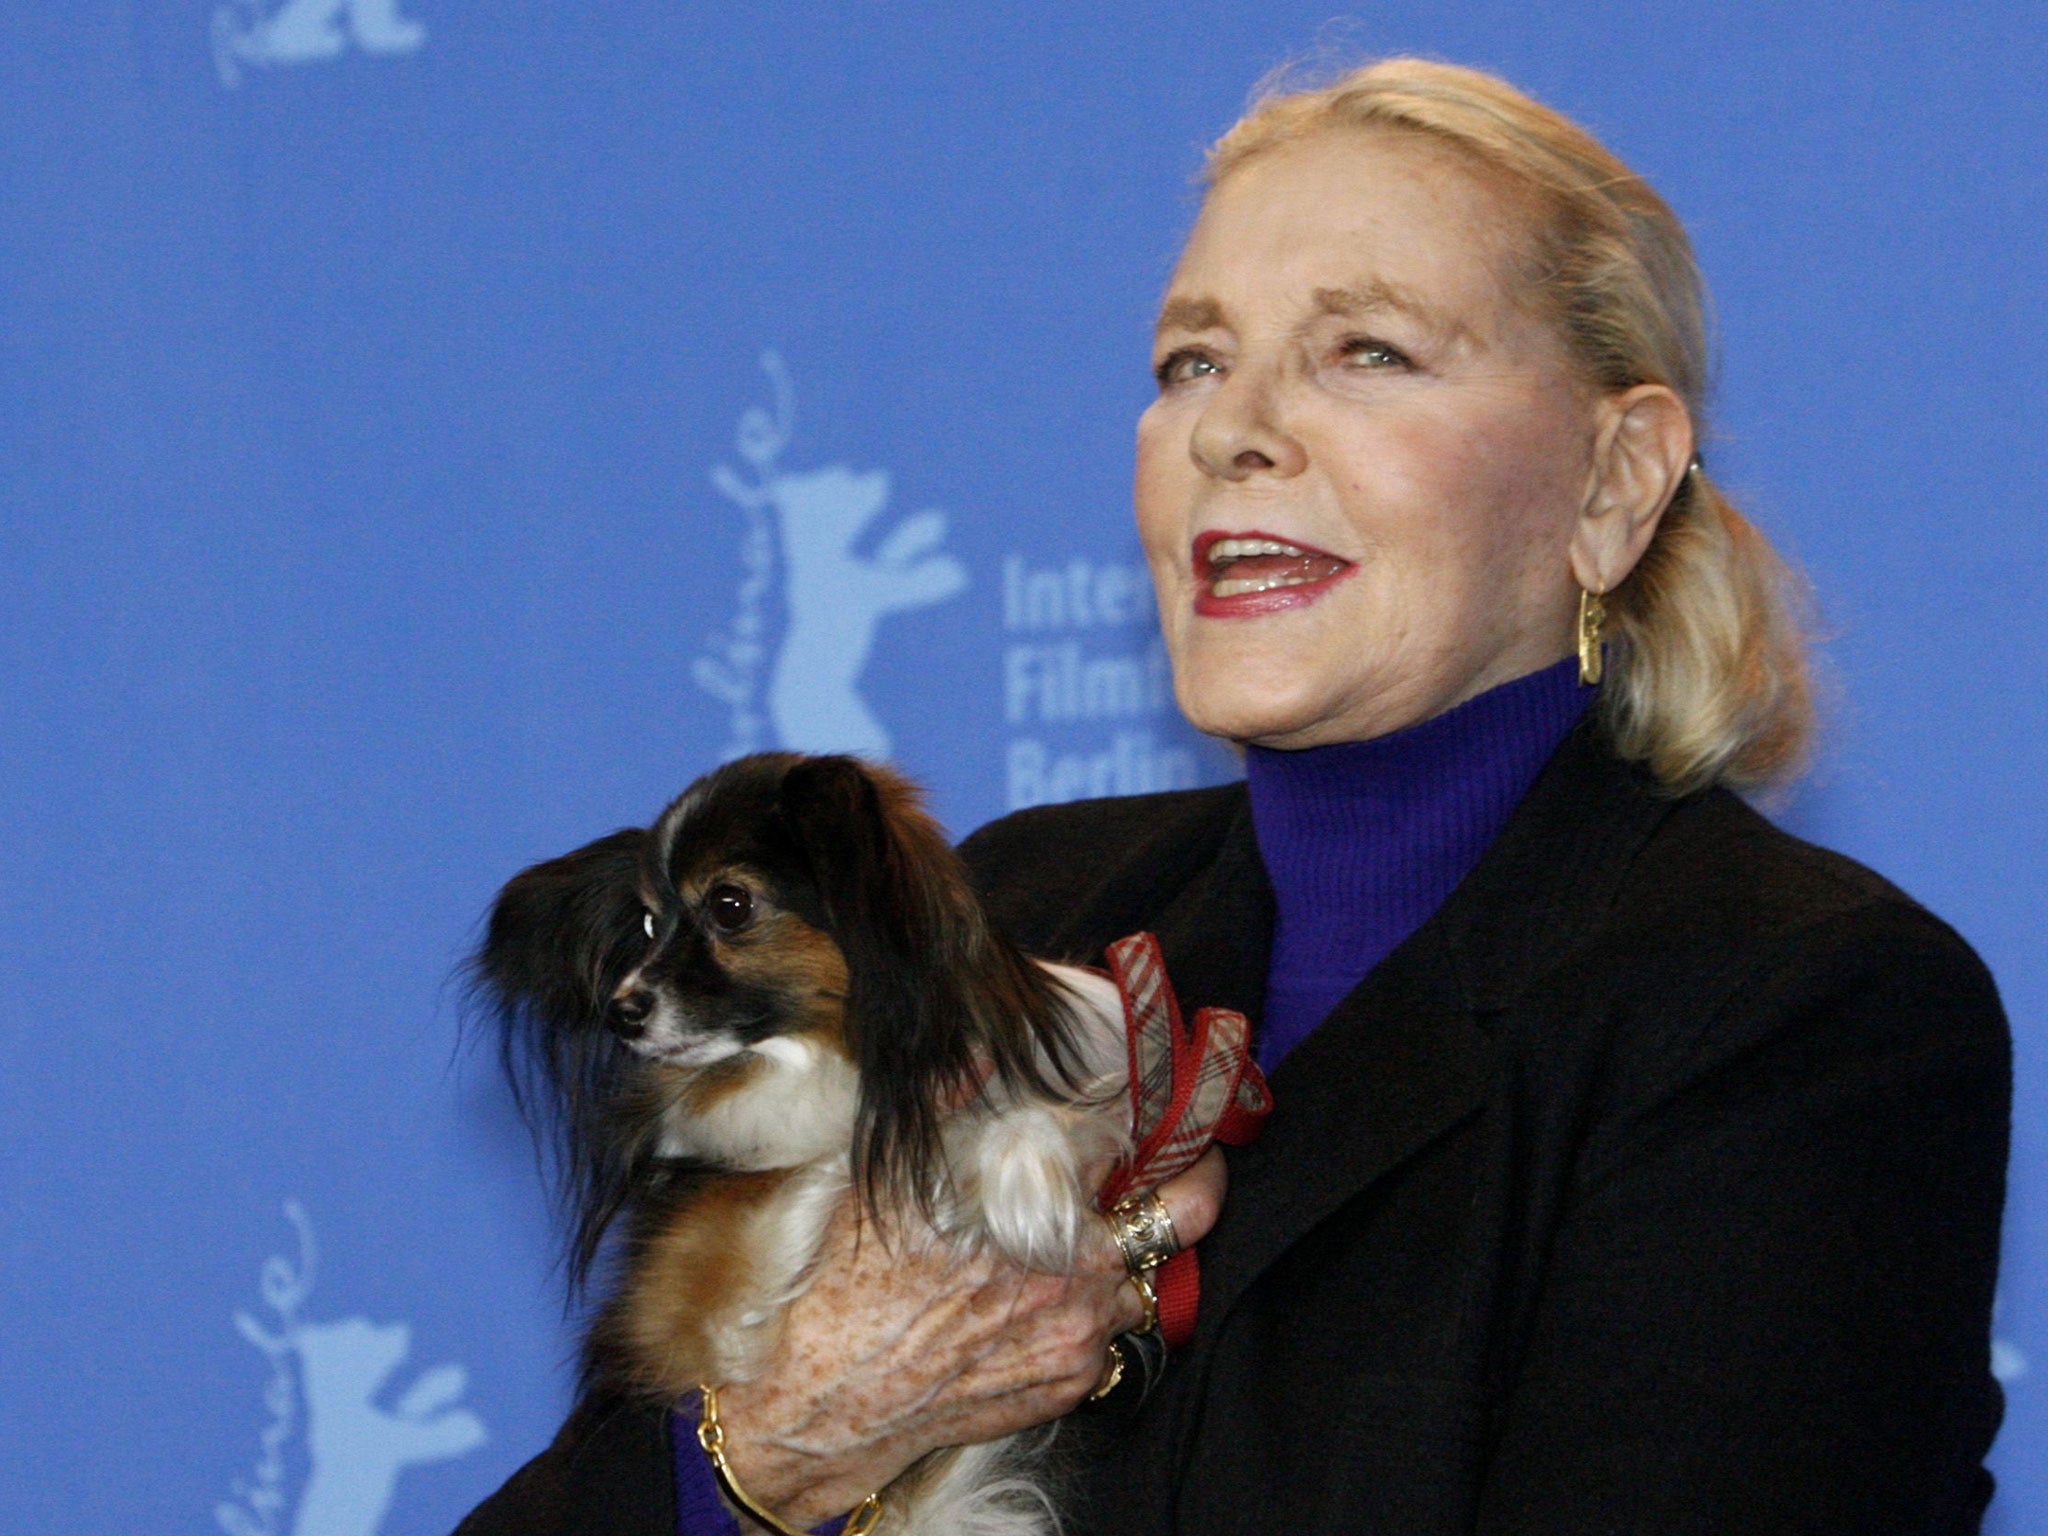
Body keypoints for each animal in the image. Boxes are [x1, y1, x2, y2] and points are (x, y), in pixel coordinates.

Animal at [471, 757, 1130, 1536]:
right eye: (649, 923)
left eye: (730, 906)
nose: (620, 1011)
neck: (829, 1056)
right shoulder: (703, 1289)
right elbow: (800, 1165)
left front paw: (1020, 1159)